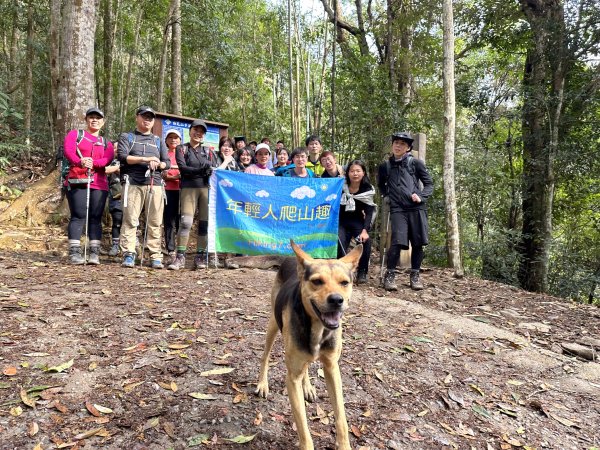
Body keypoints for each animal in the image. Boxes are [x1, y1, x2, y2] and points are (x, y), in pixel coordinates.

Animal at [254, 241, 360, 448]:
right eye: (317, 281)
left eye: (344, 283)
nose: (337, 300)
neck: (318, 328)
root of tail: (289, 258)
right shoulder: (292, 378)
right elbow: (303, 426)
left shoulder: (332, 368)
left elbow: (341, 417)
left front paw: (344, 445)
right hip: (273, 325)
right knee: (265, 356)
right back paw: (263, 383)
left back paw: (308, 387)